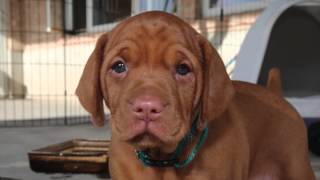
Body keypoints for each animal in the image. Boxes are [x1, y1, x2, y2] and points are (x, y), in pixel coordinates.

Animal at [75, 11, 316, 180]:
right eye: (119, 66)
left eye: (183, 69)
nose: (147, 107)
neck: (162, 160)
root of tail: (275, 93)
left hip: (297, 166)